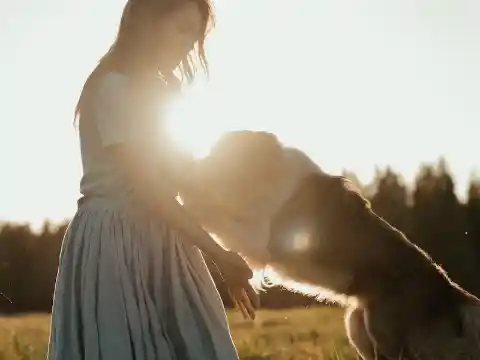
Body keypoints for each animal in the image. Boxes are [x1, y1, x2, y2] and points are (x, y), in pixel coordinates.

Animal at [179, 131, 480, 358]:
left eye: (217, 156)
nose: (191, 163)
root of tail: (451, 291)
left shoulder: (266, 236)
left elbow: (218, 217)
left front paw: (186, 197)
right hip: (360, 330)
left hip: (388, 337)